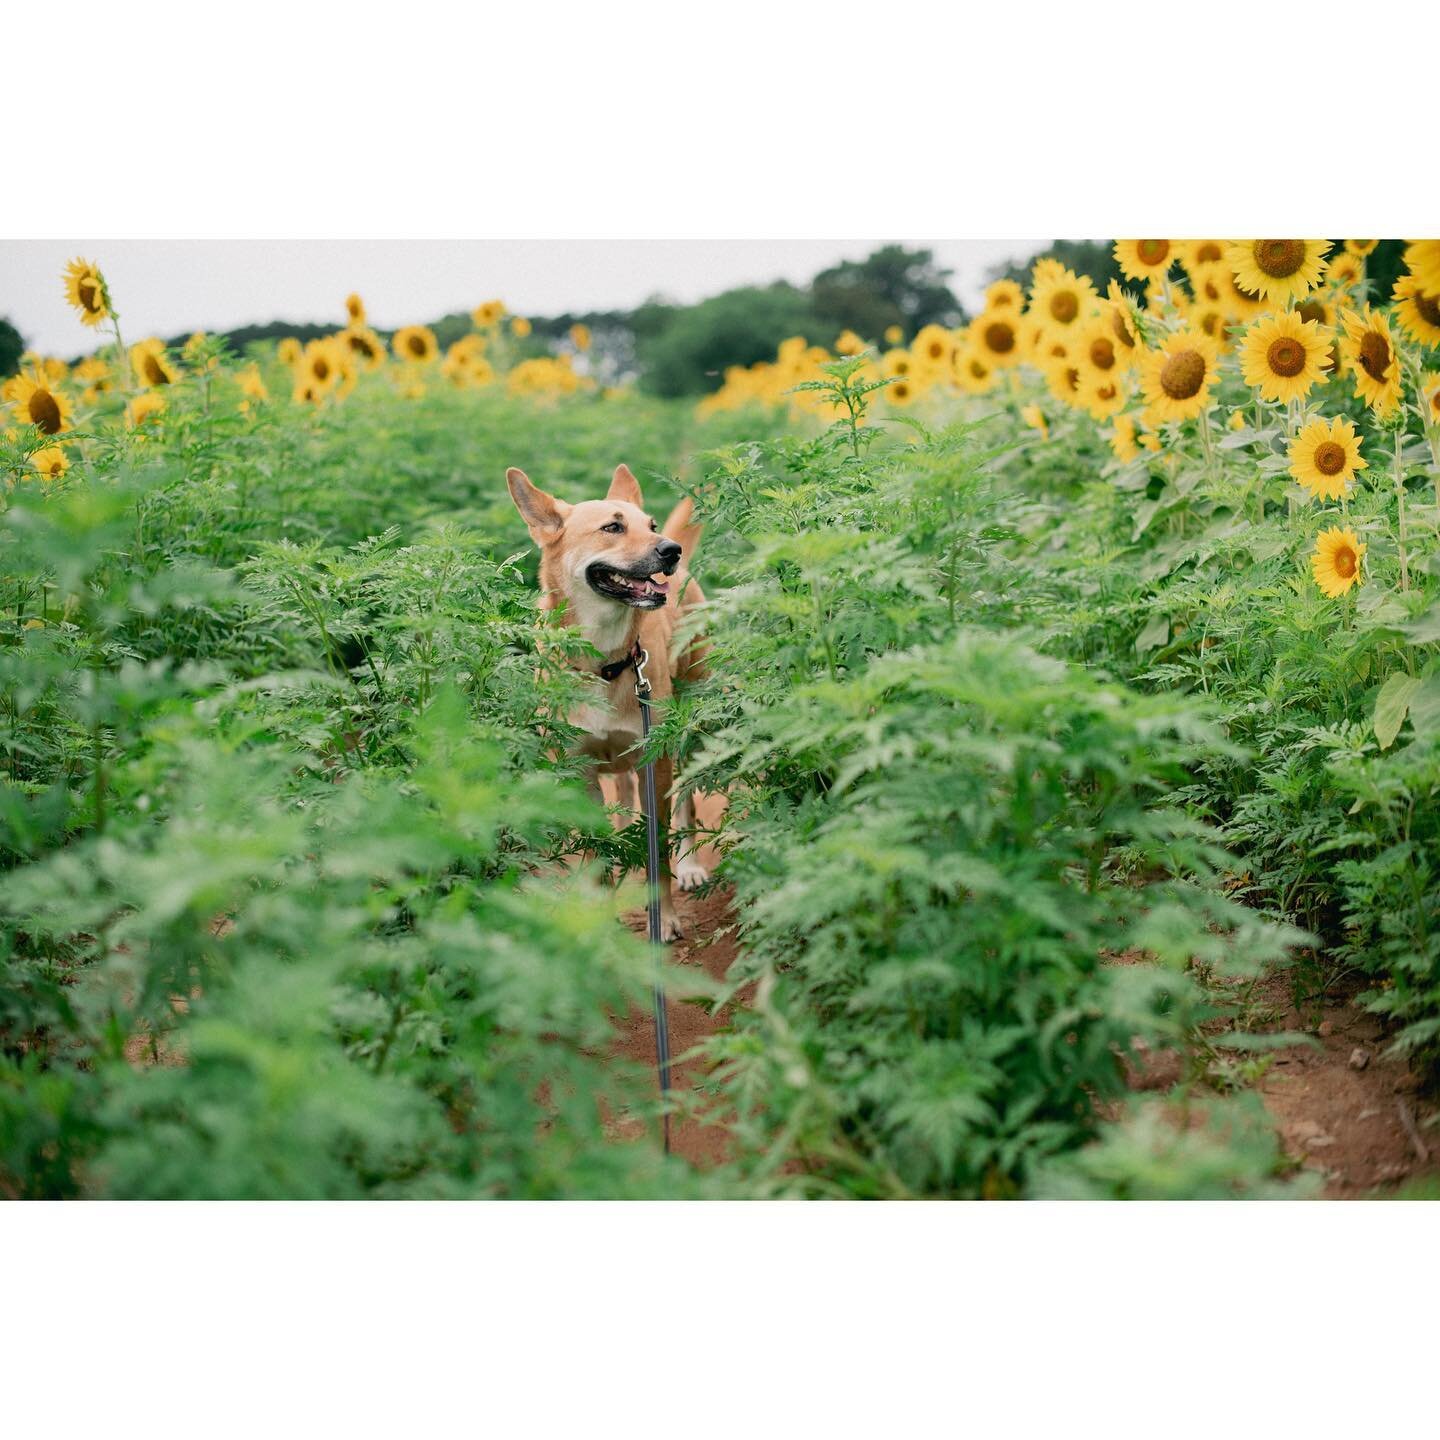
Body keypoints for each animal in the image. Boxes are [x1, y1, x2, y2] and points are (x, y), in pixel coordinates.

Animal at [506, 457, 708, 933]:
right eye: (613, 527)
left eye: (650, 524)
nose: (670, 549)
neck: (604, 664)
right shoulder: (578, 769)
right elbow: (596, 847)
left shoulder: (655, 762)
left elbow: (658, 849)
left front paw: (663, 917)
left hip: (688, 729)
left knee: (687, 802)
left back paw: (690, 865)